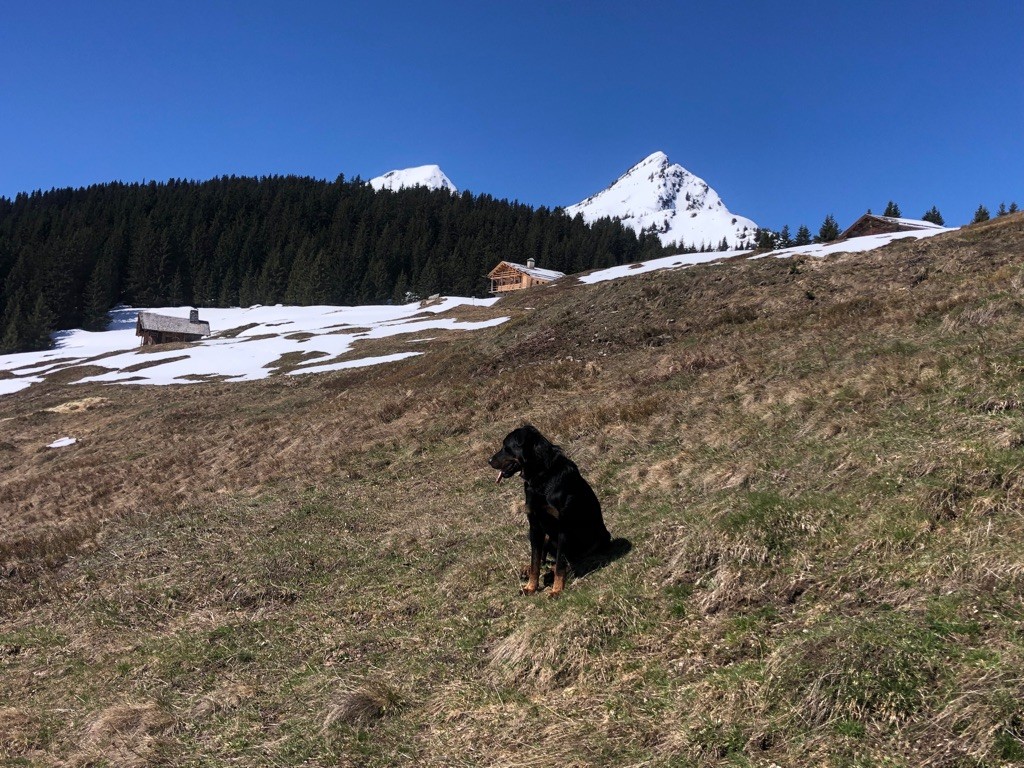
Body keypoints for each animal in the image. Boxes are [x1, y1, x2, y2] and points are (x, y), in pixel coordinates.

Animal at [487, 428, 606, 593]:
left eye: (506, 447)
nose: (489, 460)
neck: (541, 476)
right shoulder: (535, 526)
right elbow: (535, 561)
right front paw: (531, 587)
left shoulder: (563, 528)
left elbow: (561, 563)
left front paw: (556, 590)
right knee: (546, 558)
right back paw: (527, 570)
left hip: (598, 538)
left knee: (569, 560)